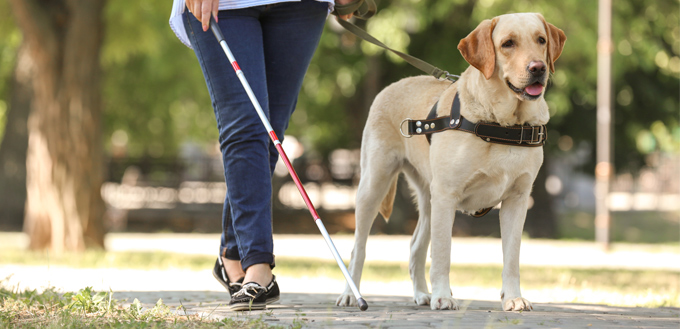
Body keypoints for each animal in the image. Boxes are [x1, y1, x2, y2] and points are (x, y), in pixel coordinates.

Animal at [338, 13, 564, 310]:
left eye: (541, 40)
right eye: (508, 43)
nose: (538, 67)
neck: (501, 125)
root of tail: (393, 84)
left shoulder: (517, 199)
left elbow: (512, 258)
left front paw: (513, 297)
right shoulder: (447, 195)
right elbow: (443, 252)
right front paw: (444, 296)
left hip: (428, 199)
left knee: (415, 246)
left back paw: (422, 294)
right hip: (374, 184)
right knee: (358, 248)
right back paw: (351, 294)